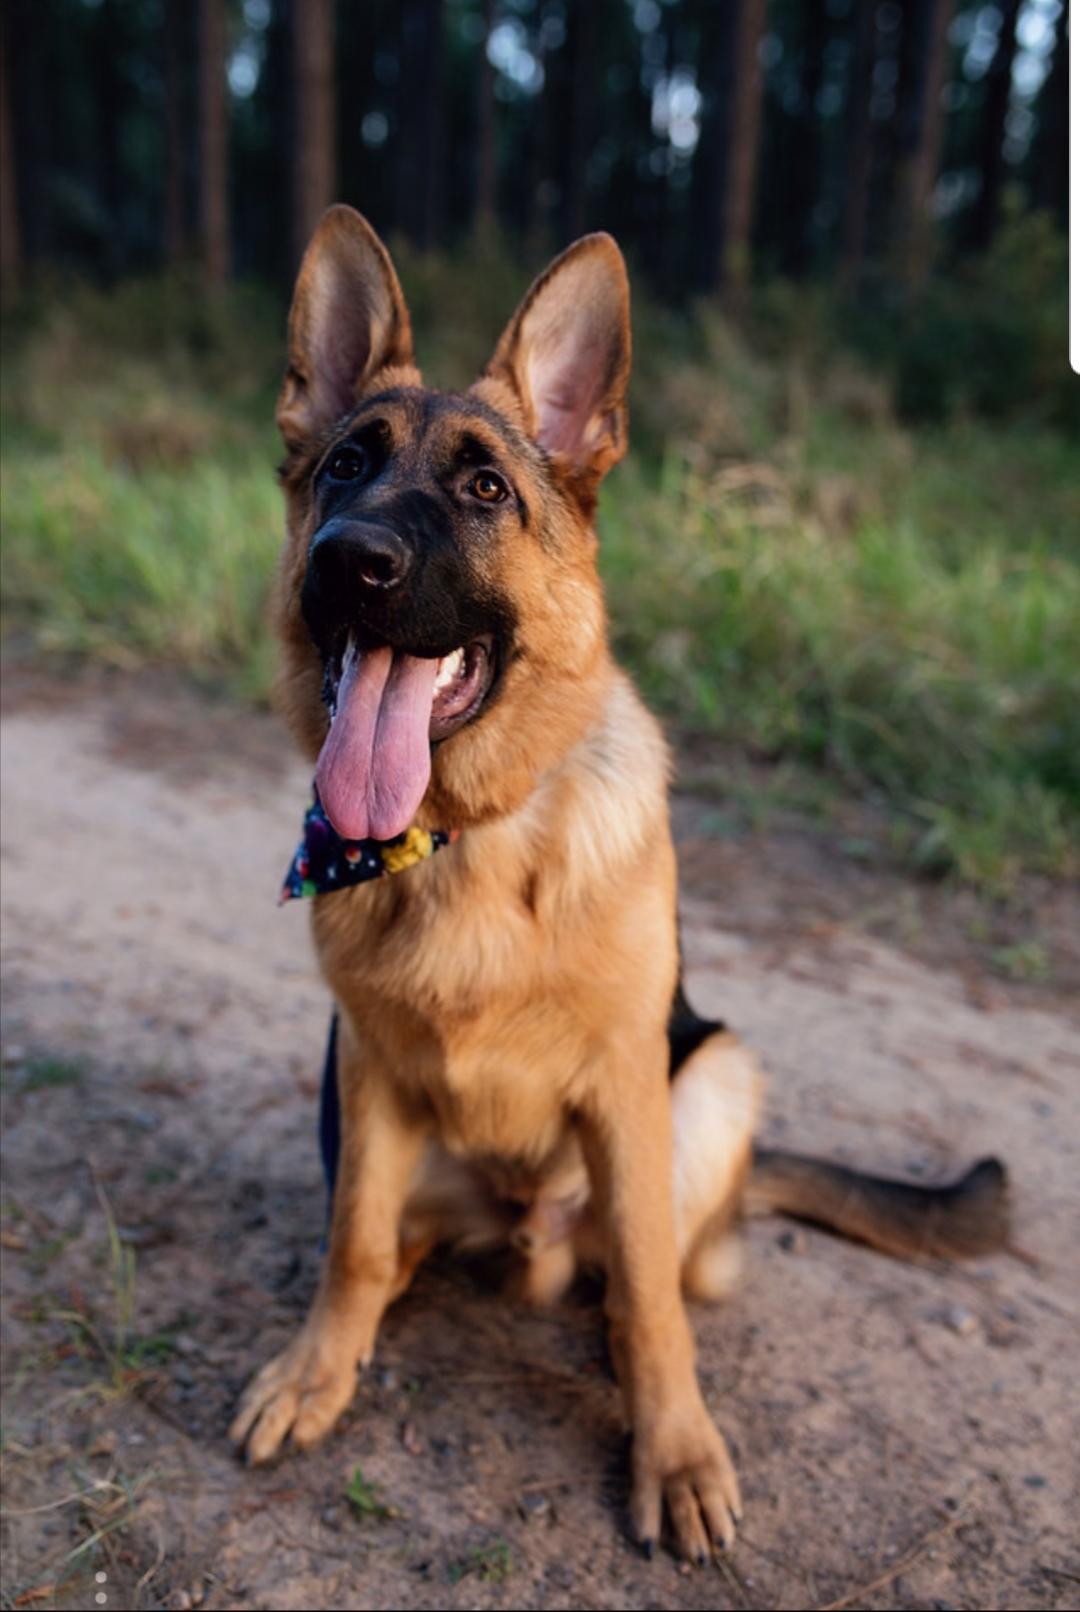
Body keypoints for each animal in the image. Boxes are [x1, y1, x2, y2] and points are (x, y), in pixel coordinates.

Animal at [230, 204, 1018, 1560]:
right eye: (342, 466)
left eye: (486, 487)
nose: (352, 559)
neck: (465, 838)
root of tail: (525, 1230)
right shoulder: (367, 1072)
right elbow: (352, 1247)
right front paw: (315, 1373)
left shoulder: (623, 1084)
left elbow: (649, 1298)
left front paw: (677, 1451)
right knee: (395, 1248)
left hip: (710, 1082)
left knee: (646, 1274)